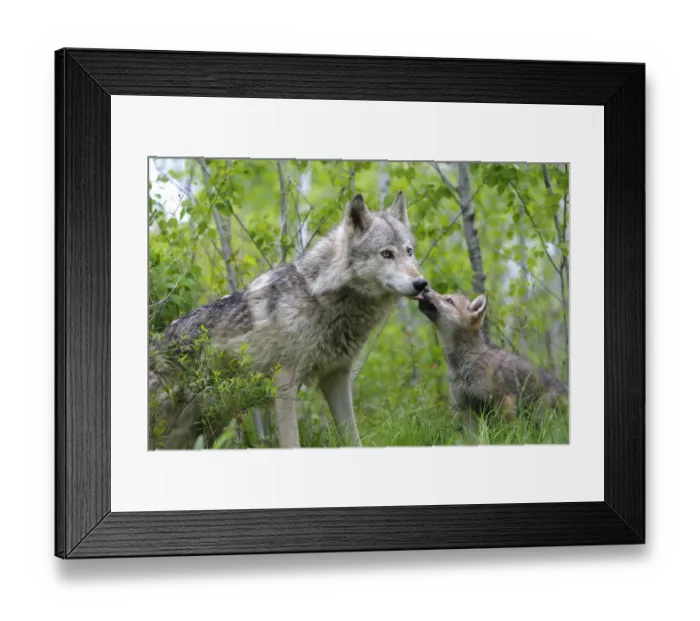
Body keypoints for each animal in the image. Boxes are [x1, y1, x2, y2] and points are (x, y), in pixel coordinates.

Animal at [150, 191, 428, 449]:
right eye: (386, 254)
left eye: (409, 252)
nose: (422, 284)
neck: (320, 296)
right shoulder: (284, 383)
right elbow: (292, 442)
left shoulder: (336, 377)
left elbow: (353, 438)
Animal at [417, 288, 567, 431]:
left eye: (449, 300)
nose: (425, 288)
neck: (467, 361)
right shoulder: (465, 409)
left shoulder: (504, 402)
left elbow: (508, 432)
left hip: (540, 414)